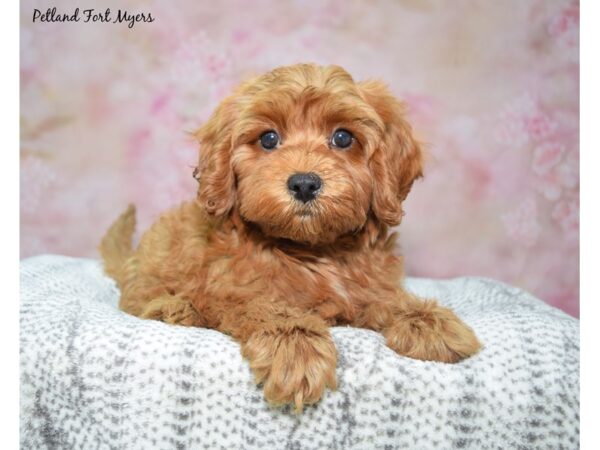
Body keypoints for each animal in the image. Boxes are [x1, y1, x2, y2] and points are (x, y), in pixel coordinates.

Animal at [101, 62, 480, 412]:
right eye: (269, 139)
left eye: (343, 138)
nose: (304, 183)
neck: (312, 250)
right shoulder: (231, 291)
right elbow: (269, 307)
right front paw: (295, 348)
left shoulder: (369, 285)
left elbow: (386, 298)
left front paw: (426, 320)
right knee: (139, 293)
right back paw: (173, 307)